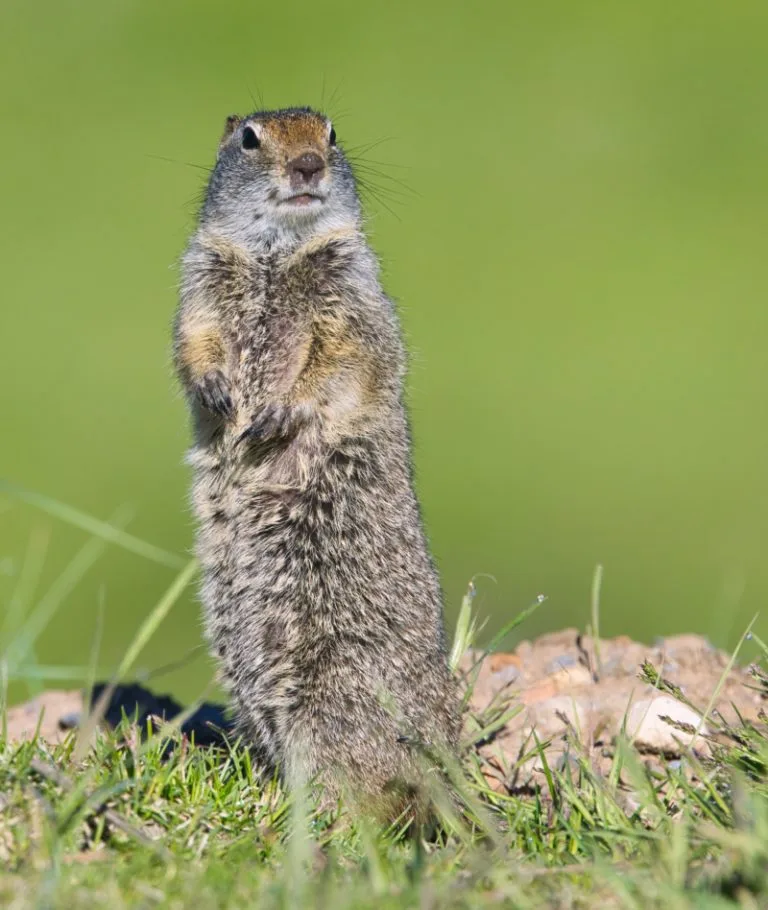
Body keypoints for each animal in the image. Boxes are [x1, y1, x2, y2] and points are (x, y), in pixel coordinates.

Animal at [173, 107, 459, 818]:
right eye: (249, 137)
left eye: (331, 133)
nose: (308, 164)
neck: (276, 255)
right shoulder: (199, 278)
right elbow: (193, 337)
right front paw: (218, 390)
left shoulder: (352, 294)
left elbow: (344, 357)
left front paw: (277, 413)